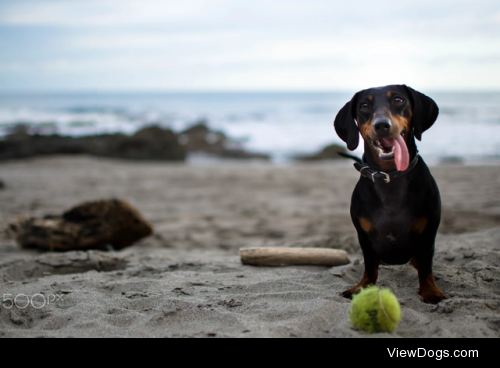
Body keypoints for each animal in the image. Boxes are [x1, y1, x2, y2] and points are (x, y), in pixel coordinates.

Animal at [336, 85, 446, 304]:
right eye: (364, 105)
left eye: (398, 100)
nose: (381, 125)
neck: (389, 177)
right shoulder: (364, 237)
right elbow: (370, 267)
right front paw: (362, 287)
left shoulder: (429, 233)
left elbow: (426, 267)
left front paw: (430, 291)